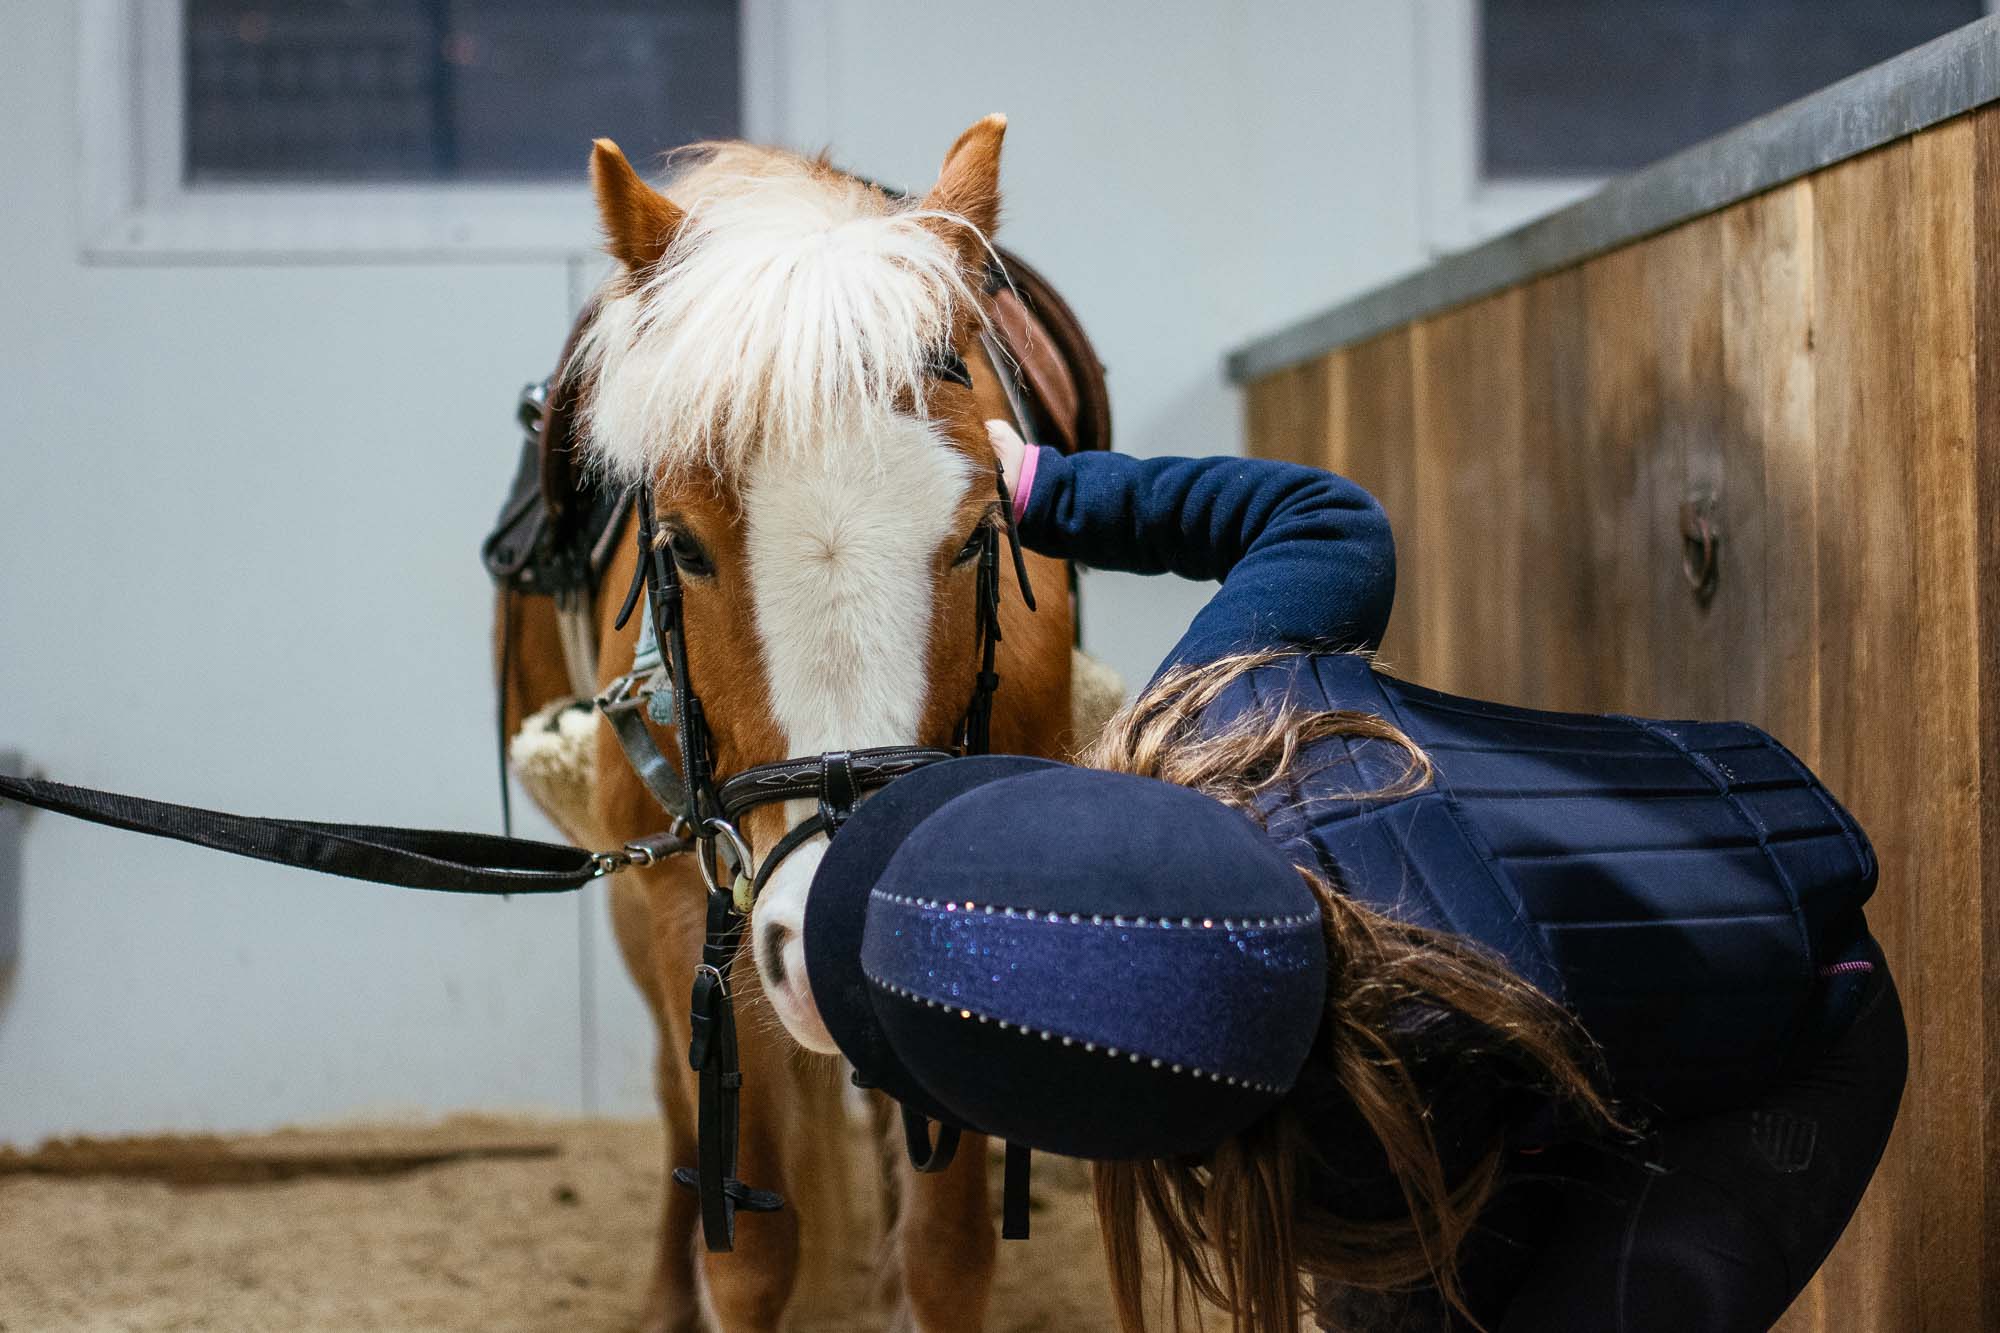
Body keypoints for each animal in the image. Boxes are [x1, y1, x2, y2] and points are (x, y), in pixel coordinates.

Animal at [500, 116, 1096, 1328]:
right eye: (679, 545)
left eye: (979, 534)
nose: (839, 929)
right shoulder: (685, 904)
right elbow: (749, 1249)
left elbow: (948, 1251)